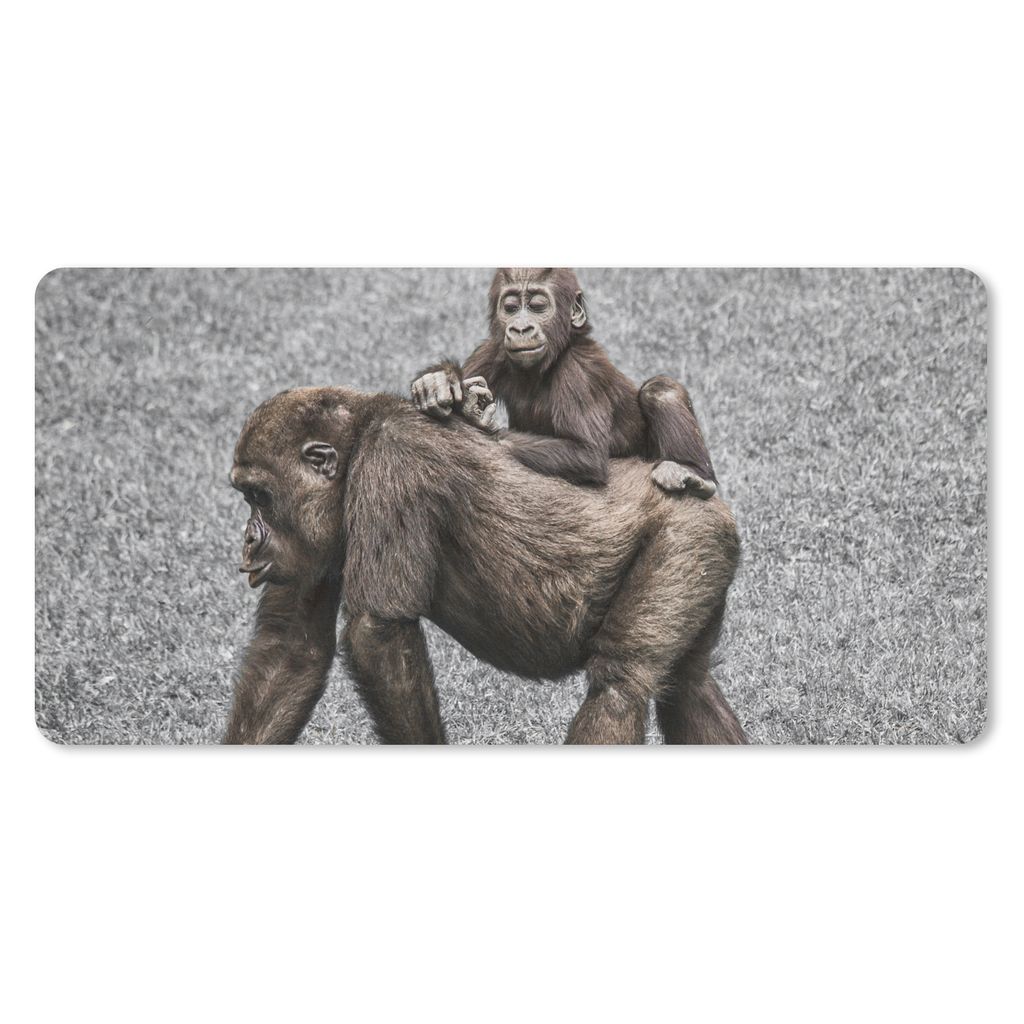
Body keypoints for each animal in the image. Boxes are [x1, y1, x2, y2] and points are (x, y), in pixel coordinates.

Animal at [224, 385, 746, 745]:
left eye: (260, 497)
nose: (249, 540)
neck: (361, 435)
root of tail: (697, 485)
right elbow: (291, 648)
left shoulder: (392, 456)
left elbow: (379, 633)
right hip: (708, 544)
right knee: (689, 684)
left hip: (687, 531)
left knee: (620, 687)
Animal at [411, 268, 717, 496]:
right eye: (510, 307)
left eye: (537, 306)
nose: (521, 328)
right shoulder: (493, 349)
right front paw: (437, 382)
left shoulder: (578, 375)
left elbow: (587, 454)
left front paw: (484, 424)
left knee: (659, 390)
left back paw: (694, 474)